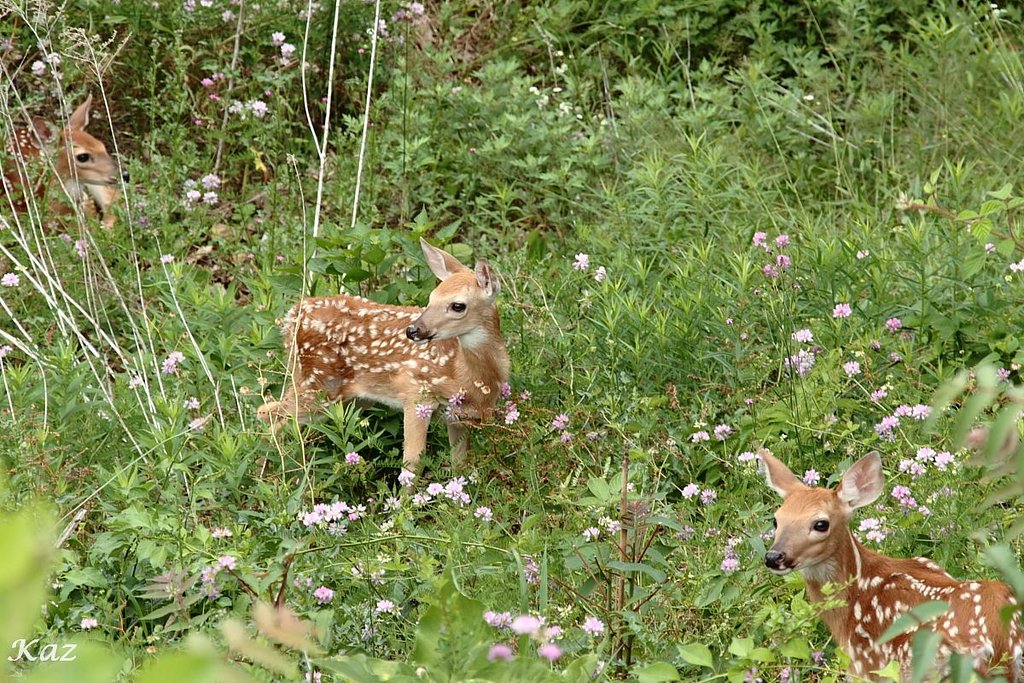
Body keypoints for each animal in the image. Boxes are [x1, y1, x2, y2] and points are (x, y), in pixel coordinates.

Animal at [257, 239, 510, 473]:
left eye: (458, 306)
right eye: (431, 298)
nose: (413, 330)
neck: (465, 373)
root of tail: (291, 317)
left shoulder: (457, 414)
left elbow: (460, 462)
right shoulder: (415, 391)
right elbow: (413, 461)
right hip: (317, 385)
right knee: (268, 413)